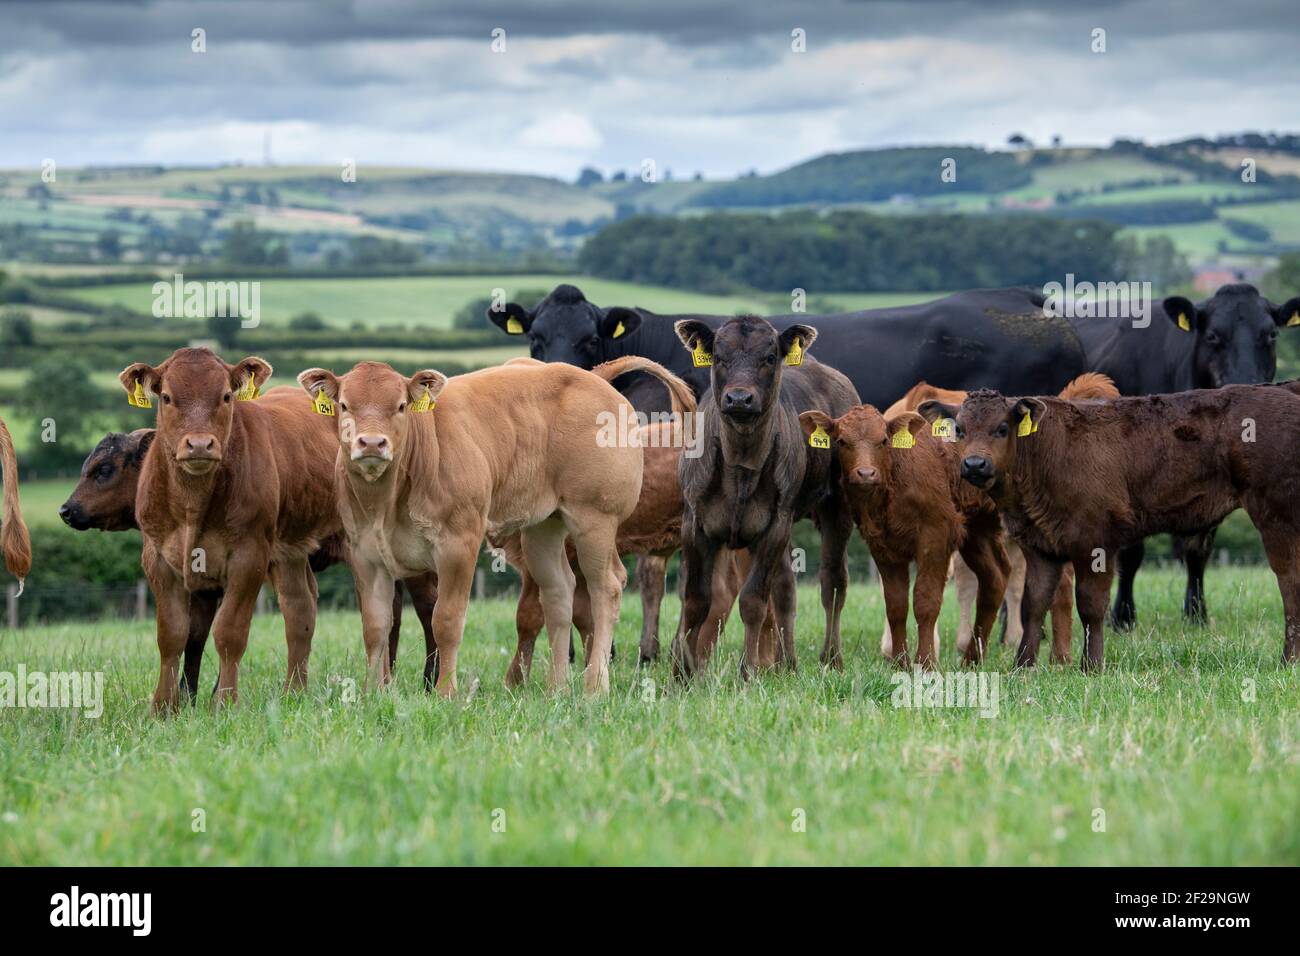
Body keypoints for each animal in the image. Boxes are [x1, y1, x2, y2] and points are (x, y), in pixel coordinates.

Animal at [920, 379, 1300, 665]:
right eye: (959, 429)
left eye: (1002, 428)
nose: (974, 464)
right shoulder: (1040, 545)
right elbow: (1034, 604)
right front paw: (1022, 667)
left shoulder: (1095, 540)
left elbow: (1090, 605)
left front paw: (1091, 666)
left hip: (1276, 514)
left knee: (1289, 581)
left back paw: (1288, 659)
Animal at [1066, 282, 1300, 629]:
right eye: (1213, 335)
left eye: (1271, 334)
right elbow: (1132, 552)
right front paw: (1123, 617)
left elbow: (1197, 550)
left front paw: (1196, 615)